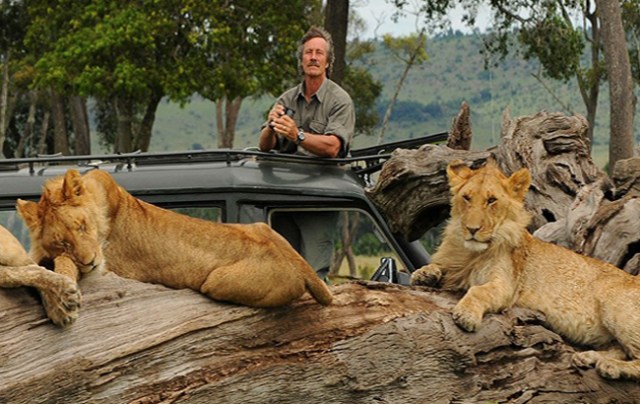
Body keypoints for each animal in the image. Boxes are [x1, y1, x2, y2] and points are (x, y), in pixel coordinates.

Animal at [16, 169, 332, 308]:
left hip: (216, 282)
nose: (90, 262)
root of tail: (301, 265)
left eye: (82, 226)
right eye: (63, 242)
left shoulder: (112, 267)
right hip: (260, 227)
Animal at [412, 159, 640, 380]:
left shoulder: (506, 286)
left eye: (491, 200)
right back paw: (588, 357)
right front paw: (425, 274)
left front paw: (466, 315)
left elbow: (479, 290)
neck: (469, 252)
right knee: (619, 348)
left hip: (614, 305)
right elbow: (435, 267)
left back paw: (611, 367)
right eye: (467, 198)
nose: (472, 229)